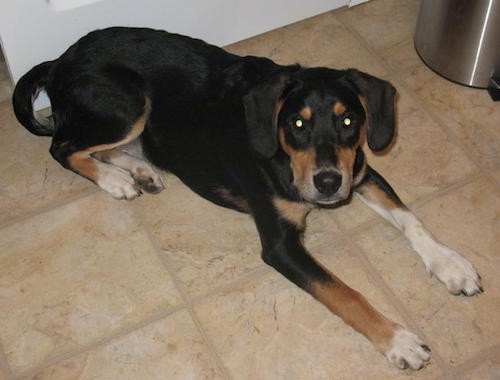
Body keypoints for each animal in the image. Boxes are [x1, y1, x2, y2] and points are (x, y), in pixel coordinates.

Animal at [11, 27, 480, 372]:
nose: (328, 183)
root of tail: (60, 60)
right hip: (127, 102)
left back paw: (140, 170)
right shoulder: (281, 246)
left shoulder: (361, 170)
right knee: (62, 146)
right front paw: (399, 340)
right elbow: (346, 293)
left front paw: (451, 264)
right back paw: (115, 179)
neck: (286, 161)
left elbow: (409, 218)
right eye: (296, 124)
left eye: (349, 121)